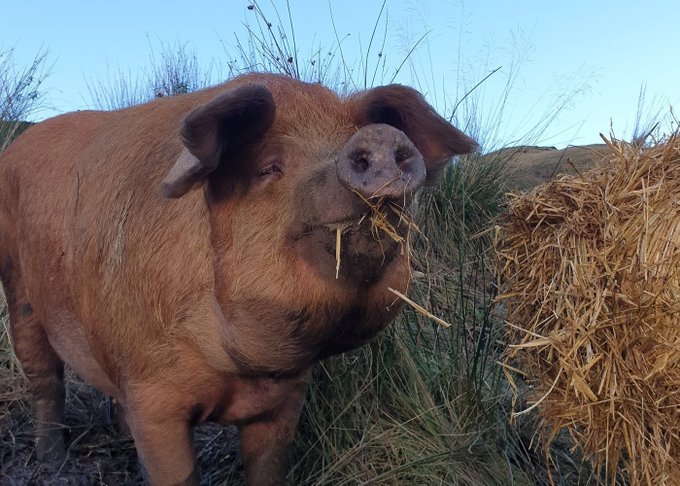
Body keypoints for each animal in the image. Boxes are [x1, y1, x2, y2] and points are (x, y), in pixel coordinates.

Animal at [0, 72, 476, 485]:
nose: (377, 137)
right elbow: (177, 473)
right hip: (18, 284)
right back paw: (52, 460)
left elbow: (267, 467)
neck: (238, 372)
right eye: (268, 168)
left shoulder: (285, 398)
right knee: (44, 376)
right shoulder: (151, 393)